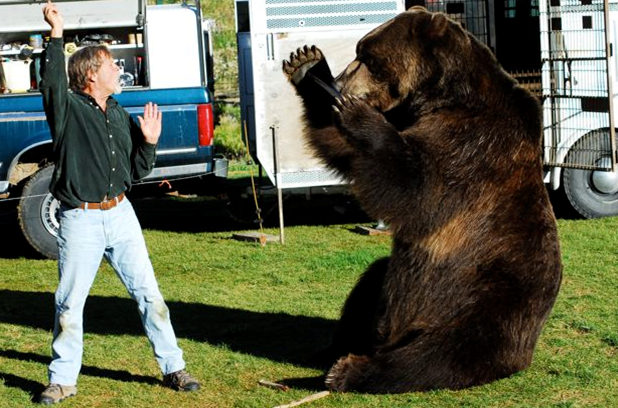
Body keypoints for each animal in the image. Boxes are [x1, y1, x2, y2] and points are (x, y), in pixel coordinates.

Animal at [282, 5, 560, 396]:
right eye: (359, 51)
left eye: (368, 57)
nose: (343, 81)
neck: (441, 96)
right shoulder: (409, 117)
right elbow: (345, 149)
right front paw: (307, 65)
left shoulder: (474, 143)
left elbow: (418, 185)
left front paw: (358, 115)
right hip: (395, 289)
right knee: (370, 283)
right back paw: (335, 347)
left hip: (486, 298)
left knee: (441, 353)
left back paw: (349, 370)